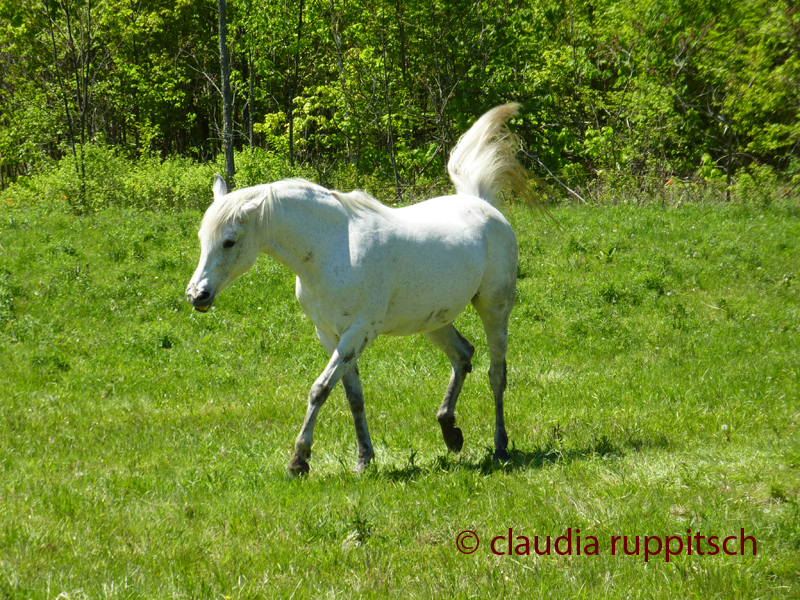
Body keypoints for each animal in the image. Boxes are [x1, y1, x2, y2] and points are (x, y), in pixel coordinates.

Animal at [188, 105, 536, 476]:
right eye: (202, 237)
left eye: (229, 241)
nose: (197, 296)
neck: (333, 249)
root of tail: (482, 204)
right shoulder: (330, 334)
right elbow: (352, 395)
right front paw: (363, 458)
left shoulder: (357, 333)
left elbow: (320, 389)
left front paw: (299, 460)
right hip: (434, 321)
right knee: (463, 356)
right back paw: (450, 431)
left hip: (494, 309)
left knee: (496, 374)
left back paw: (500, 446)